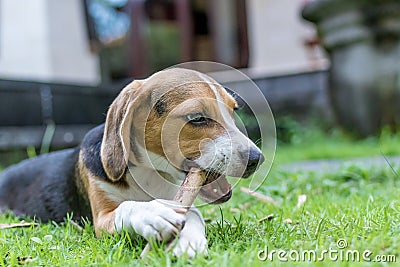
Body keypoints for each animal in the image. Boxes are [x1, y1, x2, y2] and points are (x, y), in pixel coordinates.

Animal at [0, 68, 262, 258]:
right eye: (197, 118)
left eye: (233, 111)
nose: (256, 159)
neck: (151, 173)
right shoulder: (102, 219)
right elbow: (128, 206)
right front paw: (154, 213)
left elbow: (193, 213)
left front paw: (189, 242)